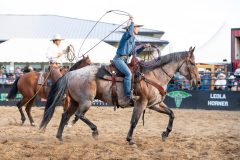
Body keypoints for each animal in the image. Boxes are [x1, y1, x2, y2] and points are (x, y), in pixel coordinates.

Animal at [40, 46, 200, 145]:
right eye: (192, 63)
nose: (198, 81)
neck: (153, 75)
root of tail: (71, 73)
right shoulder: (141, 103)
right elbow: (134, 121)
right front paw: (130, 140)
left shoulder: (155, 104)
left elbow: (171, 114)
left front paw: (165, 134)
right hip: (86, 102)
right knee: (78, 115)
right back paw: (95, 131)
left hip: (75, 101)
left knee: (65, 115)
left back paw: (59, 137)